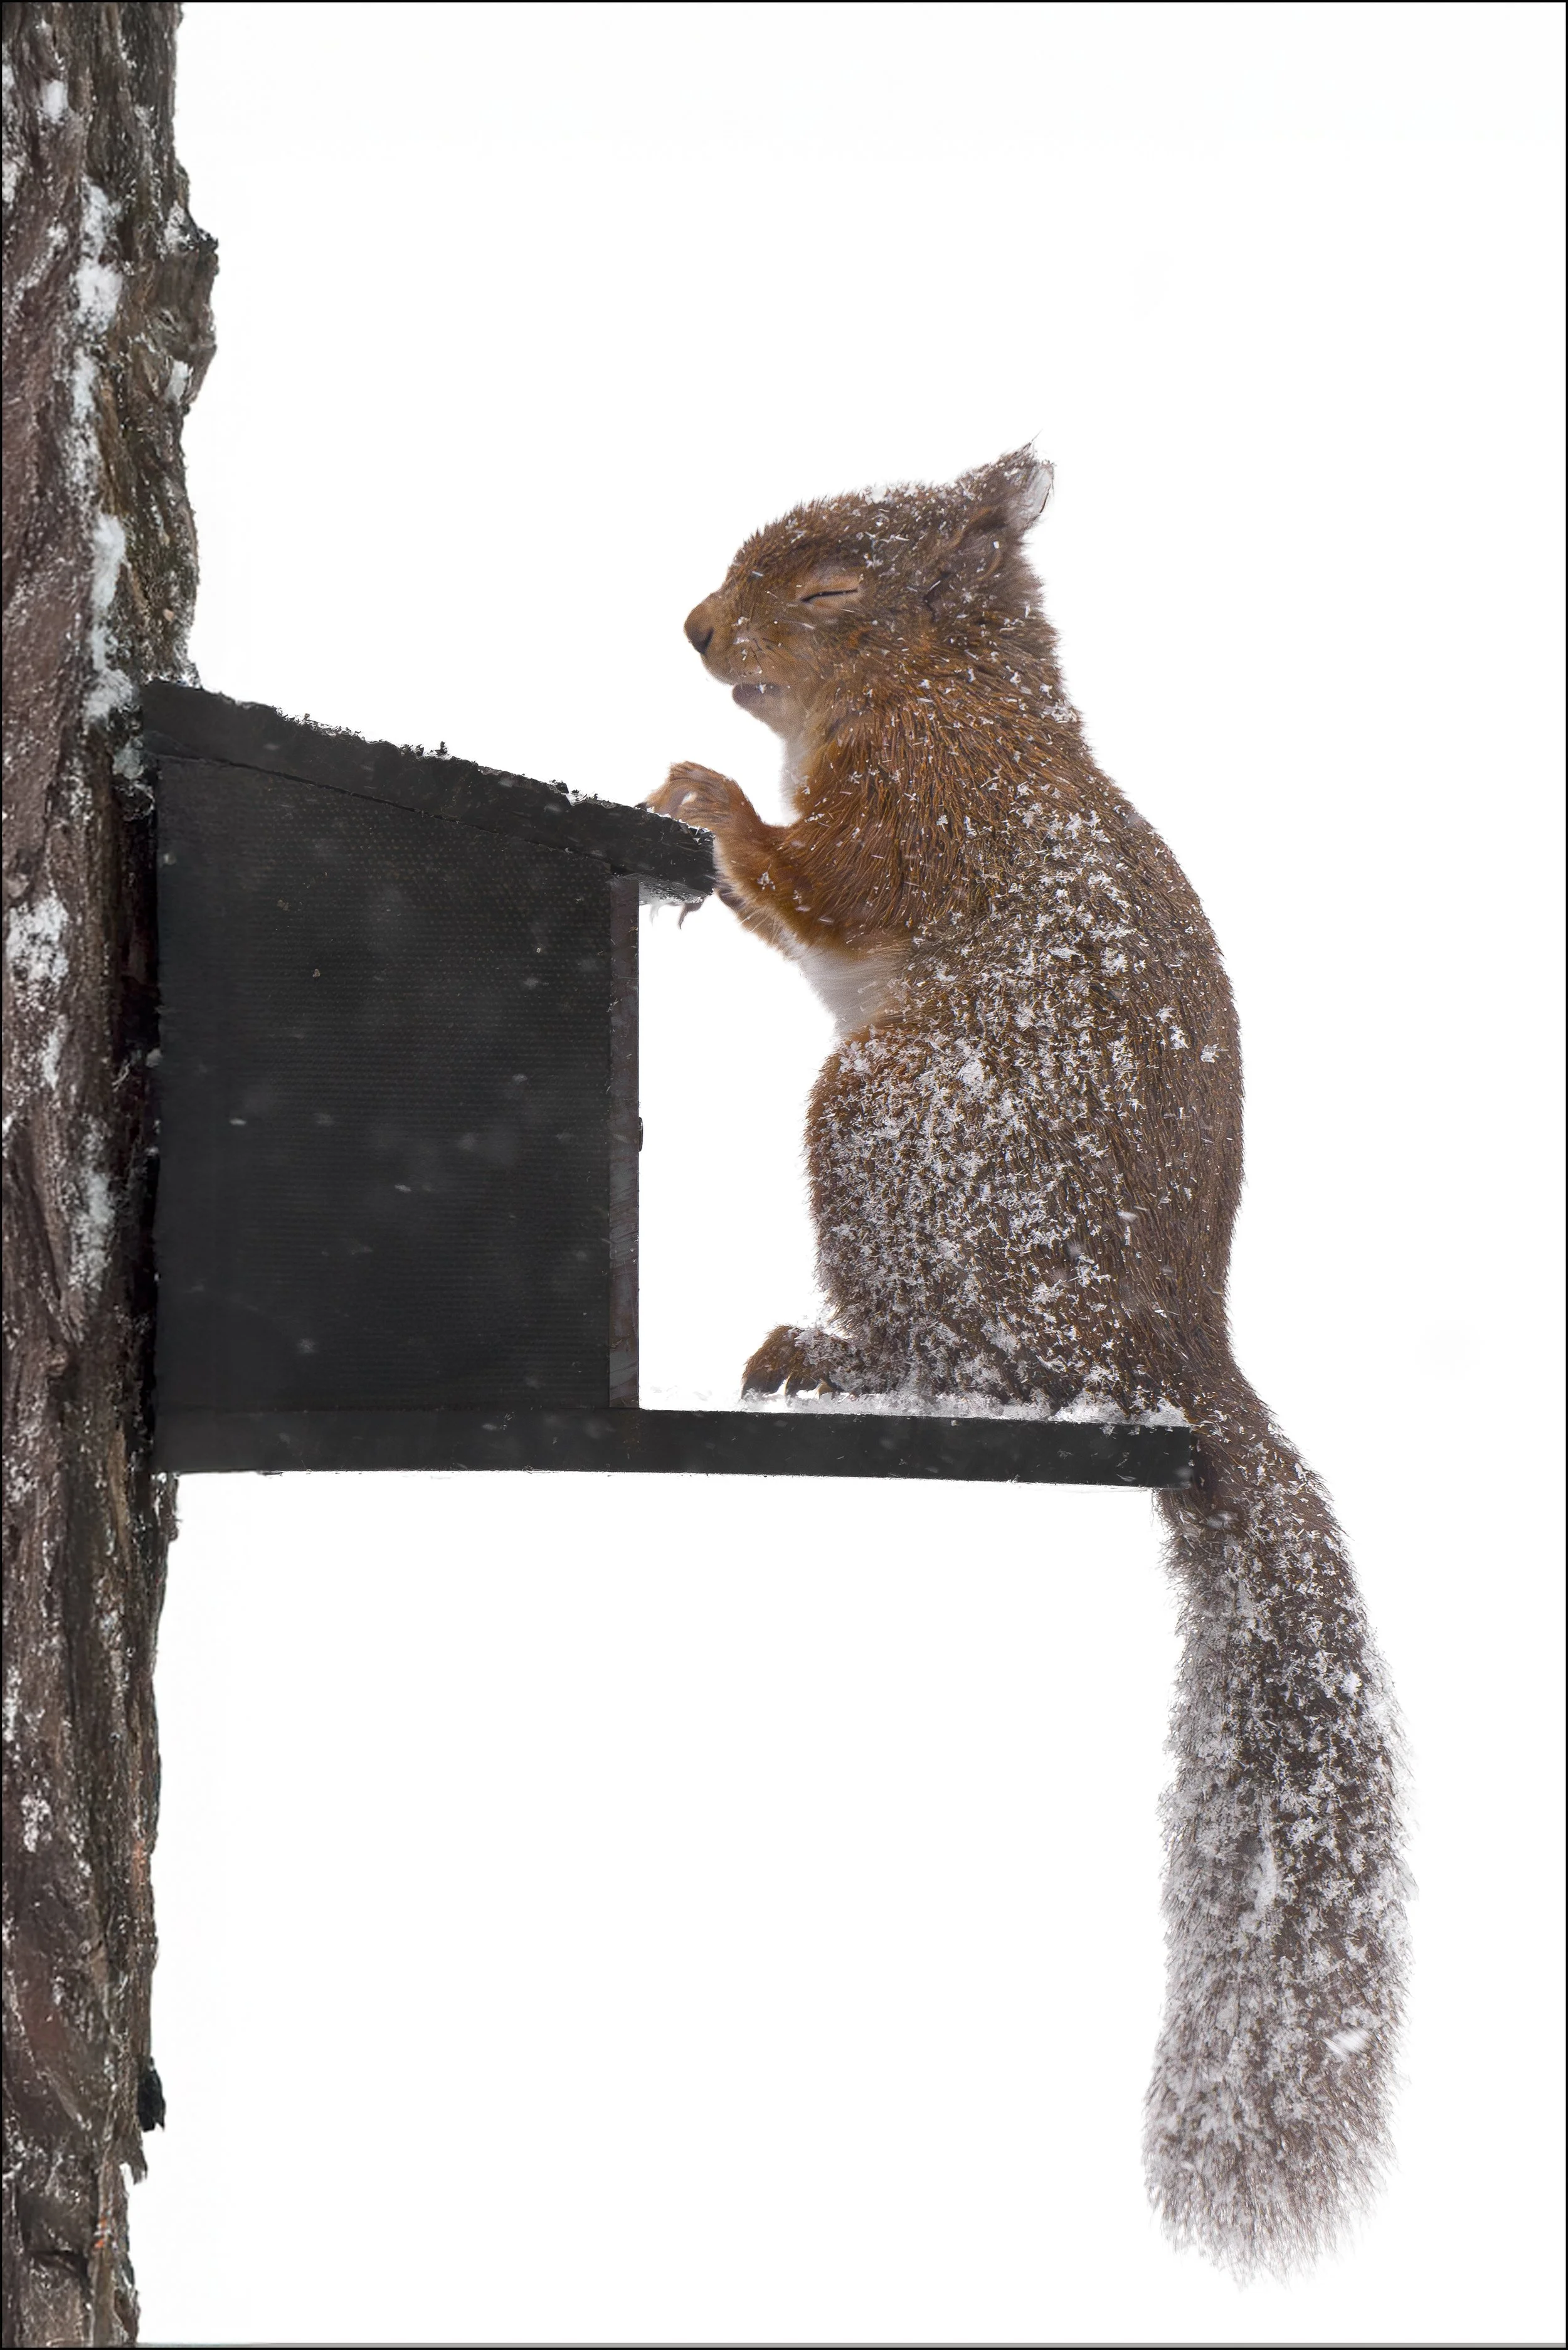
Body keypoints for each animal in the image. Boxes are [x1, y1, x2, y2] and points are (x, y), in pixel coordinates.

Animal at [646, 448, 1409, 2278]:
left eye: (829, 585)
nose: (695, 629)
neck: (948, 691)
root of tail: (1176, 1355)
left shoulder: (926, 806)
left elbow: (830, 887)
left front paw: (708, 800)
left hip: (898, 1127)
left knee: (993, 1355)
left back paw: (857, 1356)